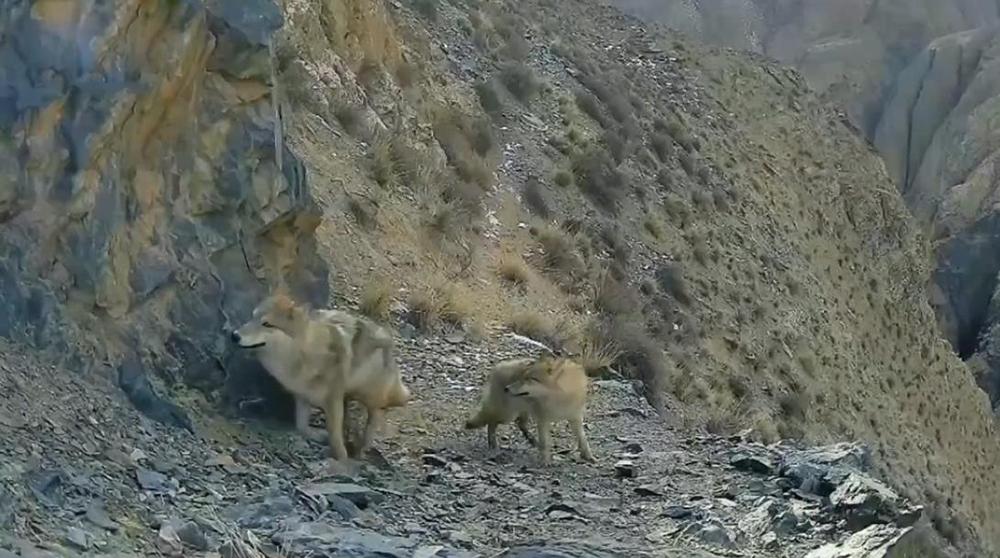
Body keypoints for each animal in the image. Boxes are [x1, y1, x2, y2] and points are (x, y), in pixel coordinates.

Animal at [231, 296, 410, 462]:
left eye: (267, 324)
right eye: (252, 317)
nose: (234, 336)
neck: (303, 357)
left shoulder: (333, 400)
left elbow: (334, 434)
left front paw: (342, 458)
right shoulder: (301, 396)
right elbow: (301, 426)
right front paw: (317, 435)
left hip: (369, 396)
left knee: (377, 414)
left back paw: (362, 448)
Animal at [466, 356, 596, 466]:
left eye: (530, 379)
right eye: (522, 377)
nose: (506, 389)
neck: (561, 397)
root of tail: (498, 367)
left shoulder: (575, 417)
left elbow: (583, 439)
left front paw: (588, 456)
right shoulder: (543, 419)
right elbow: (545, 442)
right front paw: (545, 461)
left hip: (521, 412)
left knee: (520, 424)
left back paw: (532, 441)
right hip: (508, 415)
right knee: (491, 423)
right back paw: (493, 444)